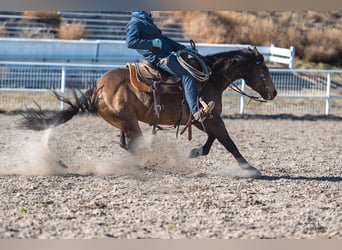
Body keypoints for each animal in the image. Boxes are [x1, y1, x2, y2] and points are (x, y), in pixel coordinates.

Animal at [20, 47, 276, 178]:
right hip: (130, 122)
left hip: (125, 122)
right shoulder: (210, 118)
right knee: (134, 145)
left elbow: (215, 140)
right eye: (264, 70)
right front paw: (250, 169)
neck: (210, 79)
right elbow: (229, 142)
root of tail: (97, 87)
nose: (273, 93)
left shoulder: (204, 119)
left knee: (126, 144)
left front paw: (195, 151)